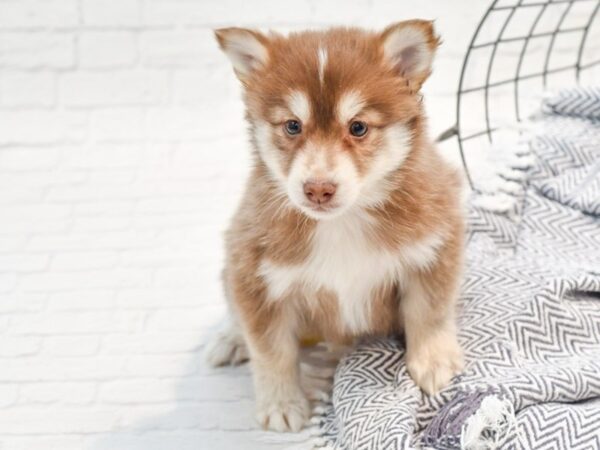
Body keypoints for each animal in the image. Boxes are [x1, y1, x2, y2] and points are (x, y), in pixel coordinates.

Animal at [205, 21, 464, 432]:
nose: (318, 189)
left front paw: (434, 362)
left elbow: (430, 312)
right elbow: (271, 351)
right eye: (292, 126)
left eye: (358, 127)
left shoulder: (436, 245)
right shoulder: (255, 273)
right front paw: (282, 403)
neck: (344, 222)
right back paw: (229, 340)